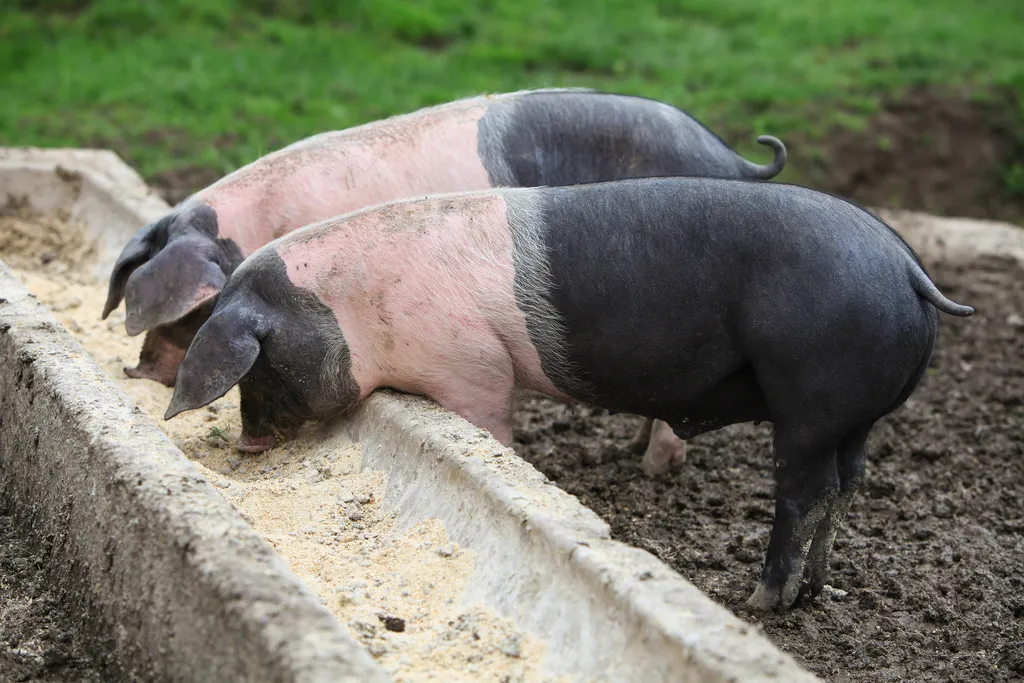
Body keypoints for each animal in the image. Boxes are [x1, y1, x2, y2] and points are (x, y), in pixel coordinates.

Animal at [161, 176, 974, 614]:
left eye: (258, 365)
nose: (247, 445)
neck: (354, 311)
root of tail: (906, 268)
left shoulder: (474, 366)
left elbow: (493, 427)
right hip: (856, 418)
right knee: (846, 486)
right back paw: (813, 592)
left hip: (810, 396)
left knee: (802, 493)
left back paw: (760, 601)